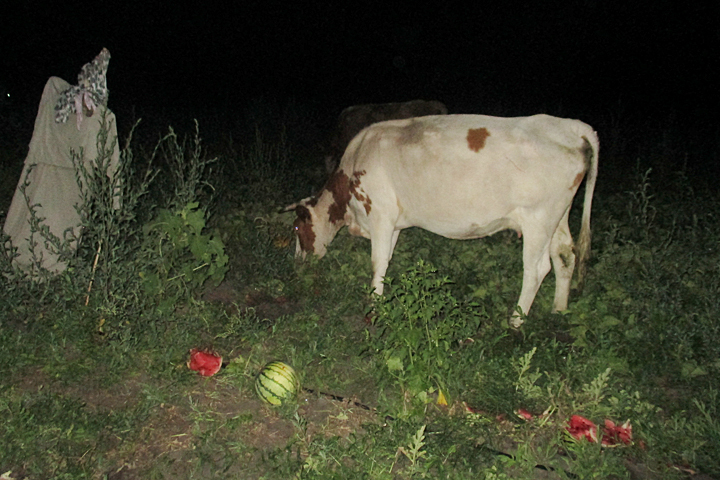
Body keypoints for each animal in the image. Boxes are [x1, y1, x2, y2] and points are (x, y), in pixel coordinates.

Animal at [286, 114, 596, 328]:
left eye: (297, 227)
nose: (298, 263)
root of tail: (570, 127)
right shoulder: (394, 222)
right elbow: (386, 262)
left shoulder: (380, 214)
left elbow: (377, 262)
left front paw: (374, 306)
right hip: (558, 215)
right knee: (565, 255)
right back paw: (559, 309)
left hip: (537, 219)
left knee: (536, 268)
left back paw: (516, 322)